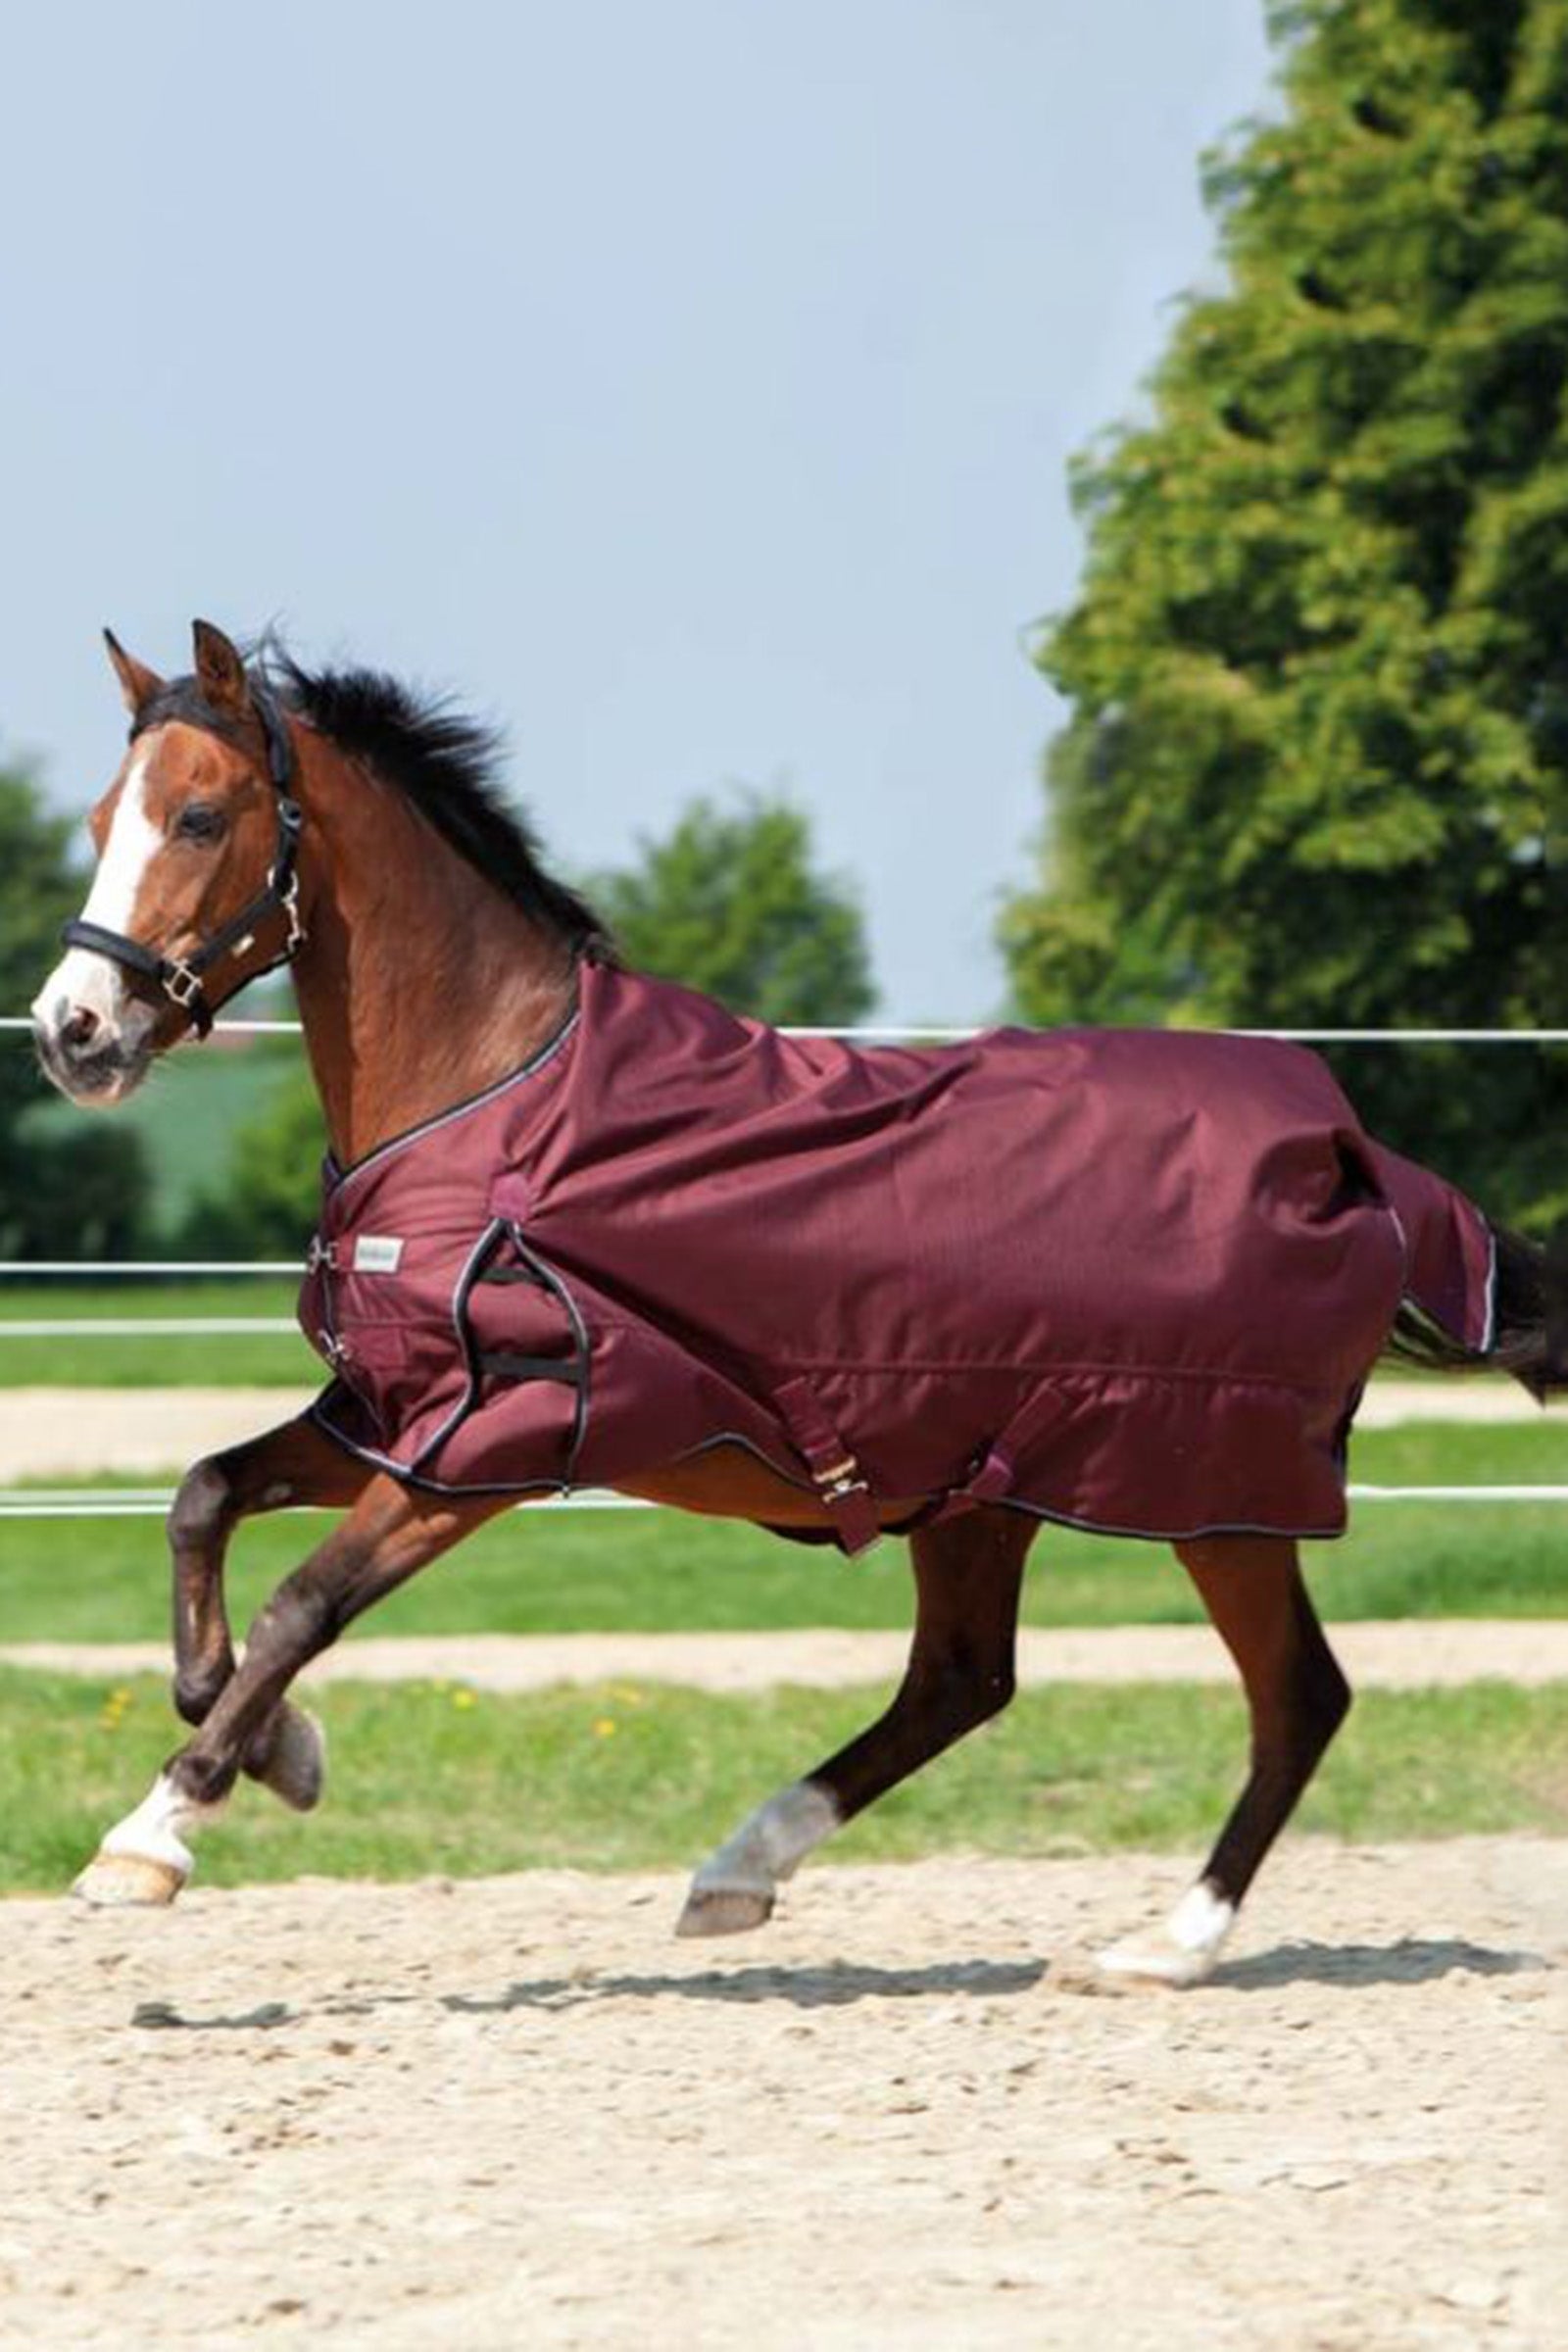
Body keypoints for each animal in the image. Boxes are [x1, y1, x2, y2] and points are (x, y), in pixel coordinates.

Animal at [30, 620, 1553, 1987]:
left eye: (201, 815)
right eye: (103, 816)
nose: (70, 1032)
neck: (495, 1096)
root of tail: (1349, 1153)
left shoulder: (495, 1442)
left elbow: (301, 1603)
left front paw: (154, 1833)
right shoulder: (391, 1412)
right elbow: (203, 1497)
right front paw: (277, 1750)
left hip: (1210, 1494)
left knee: (1295, 1697)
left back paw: (1163, 1948)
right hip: (984, 1489)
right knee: (963, 1681)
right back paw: (740, 1871)